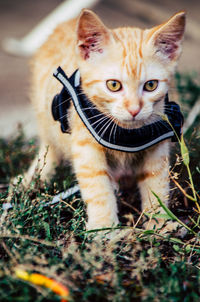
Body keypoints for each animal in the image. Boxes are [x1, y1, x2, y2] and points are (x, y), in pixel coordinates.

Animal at [25, 8, 186, 231]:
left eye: (151, 85)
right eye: (114, 85)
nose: (134, 109)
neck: (127, 134)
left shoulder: (157, 145)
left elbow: (156, 181)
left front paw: (159, 220)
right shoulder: (86, 146)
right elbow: (97, 184)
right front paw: (103, 226)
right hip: (46, 120)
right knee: (49, 148)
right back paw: (33, 179)